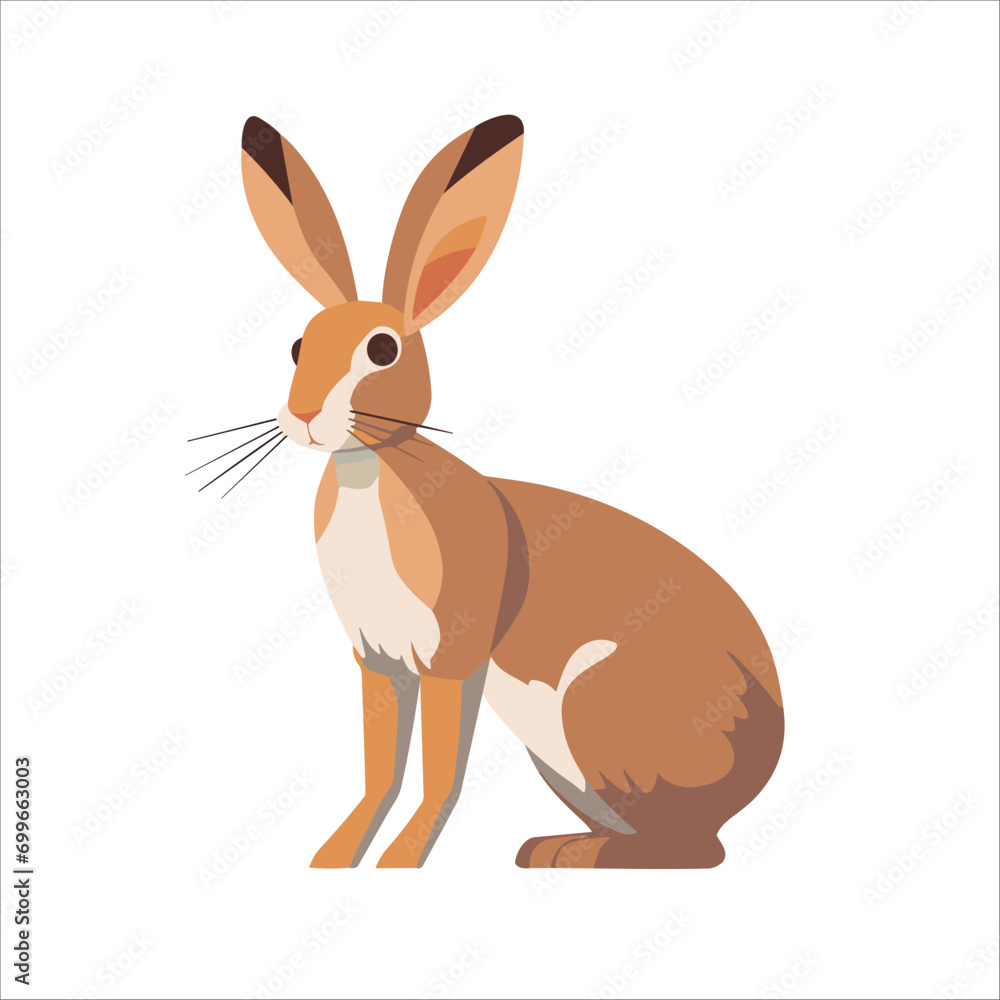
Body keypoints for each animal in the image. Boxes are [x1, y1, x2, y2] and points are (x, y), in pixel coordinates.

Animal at [239, 113, 784, 869]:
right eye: (297, 346)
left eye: (383, 350)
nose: (306, 414)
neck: (369, 472)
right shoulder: (379, 664)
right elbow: (381, 771)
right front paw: (334, 858)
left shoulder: (450, 660)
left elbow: (439, 773)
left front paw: (402, 862)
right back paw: (554, 845)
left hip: (596, 708)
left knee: (695, 849)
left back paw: (568, 857)